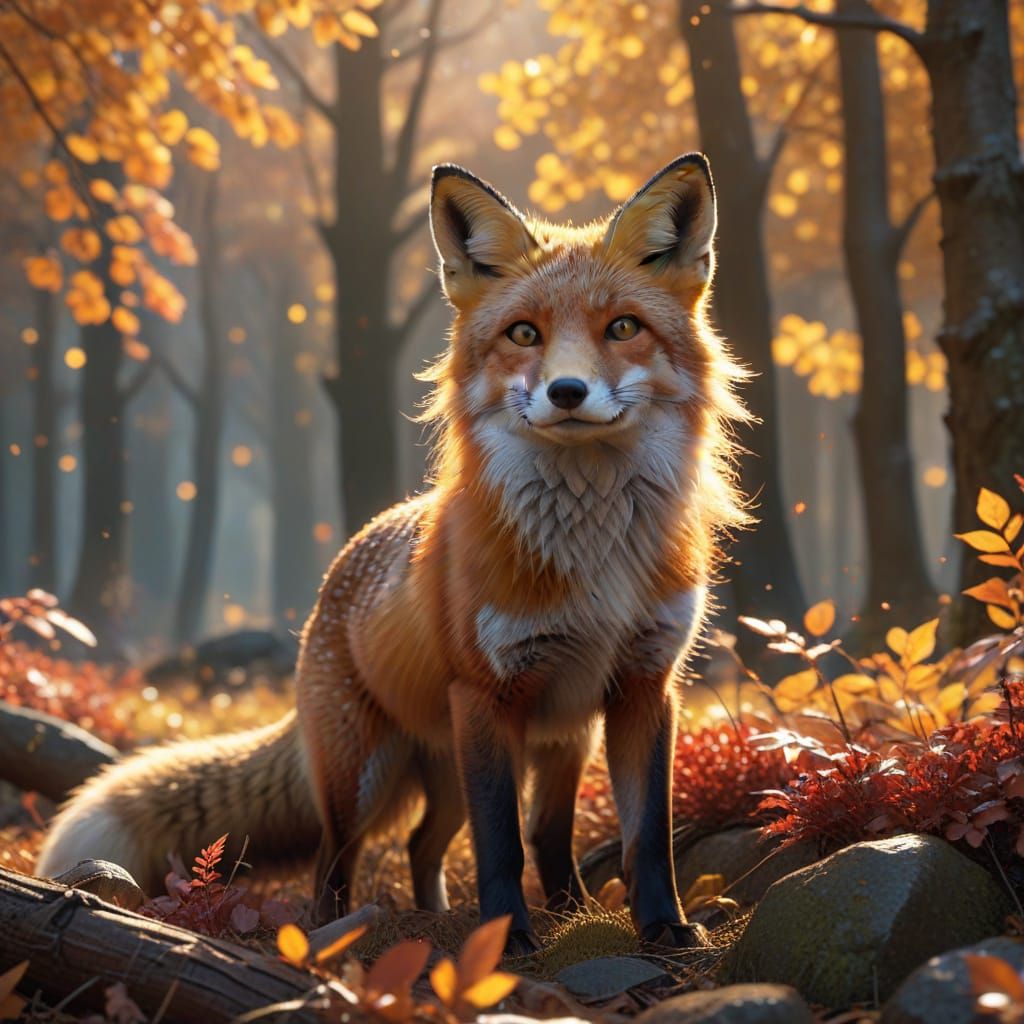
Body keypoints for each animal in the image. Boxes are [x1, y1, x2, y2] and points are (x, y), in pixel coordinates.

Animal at [37, 153, 750, 952]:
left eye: (623, 327)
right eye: (524, 333)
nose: (567, 392)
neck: (593, 553)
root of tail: (343, 561)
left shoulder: (643, 687)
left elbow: (644, 836)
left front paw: (662, 930)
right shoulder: (488, 695)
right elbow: (501, 845)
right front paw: (507, 942)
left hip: (522, 751)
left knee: (462, 840)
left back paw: (496, 913)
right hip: (368, 775)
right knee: (334, 859)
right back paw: (338, 932)